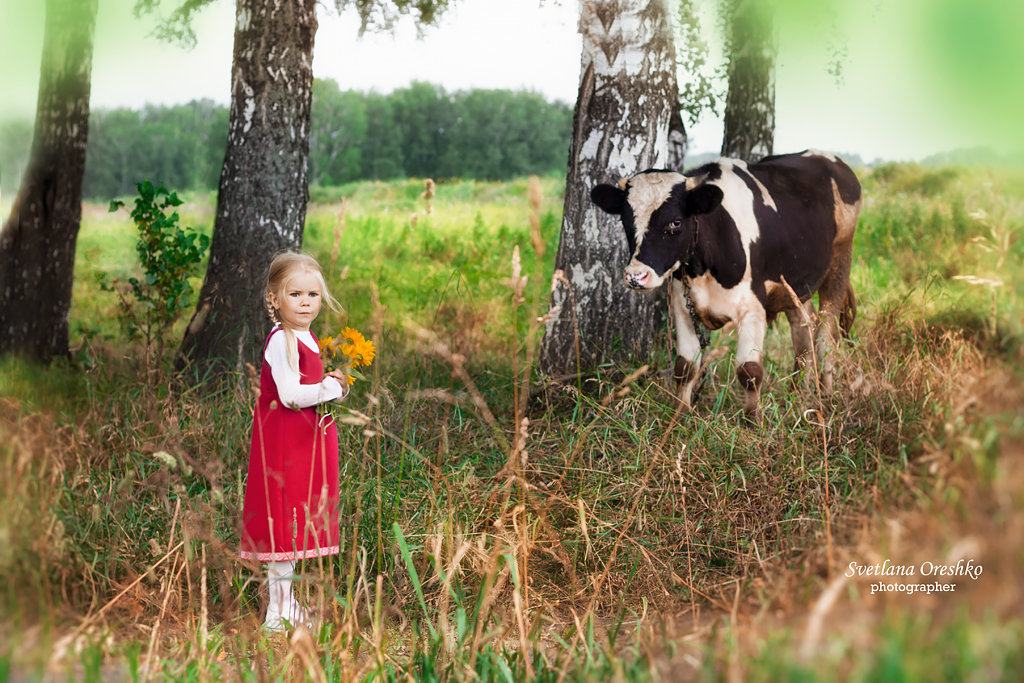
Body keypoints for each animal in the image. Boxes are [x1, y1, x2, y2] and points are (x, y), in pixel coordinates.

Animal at [589, 150, 860, 417]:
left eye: (675, 222)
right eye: (625, 221)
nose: (636, 275)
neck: (704, 265)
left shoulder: (753, 307)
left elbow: (749, 371)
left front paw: (752, 421)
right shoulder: (682, 303)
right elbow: (685, 366)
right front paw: (679, 416)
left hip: (841, 260)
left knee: (825, 336)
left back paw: (826, 396)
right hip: (794, 285)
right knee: (804, 329)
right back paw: (797, 392)